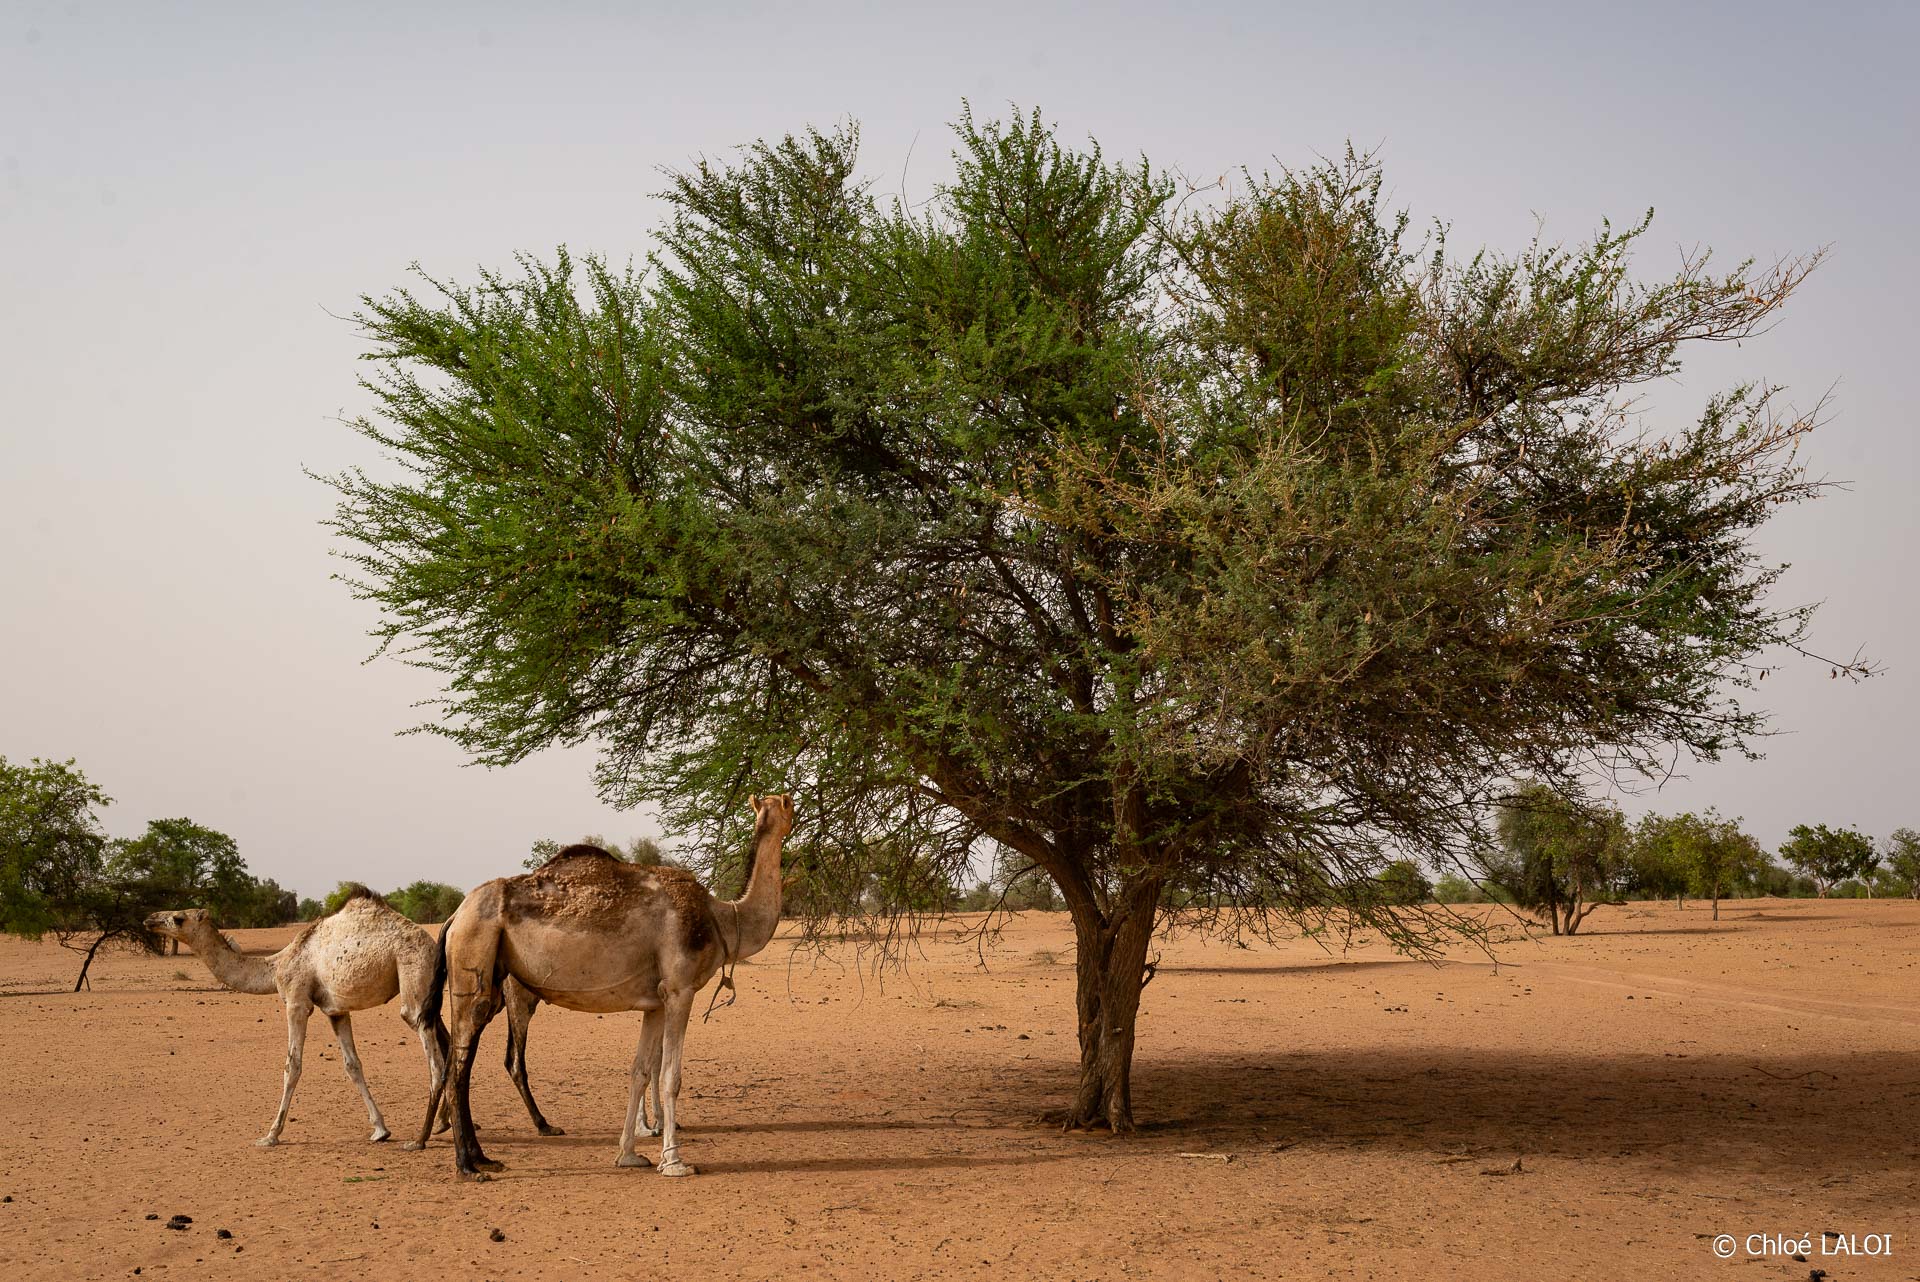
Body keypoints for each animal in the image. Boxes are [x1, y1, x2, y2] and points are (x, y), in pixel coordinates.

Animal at [144, 886, 560, 1143]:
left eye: (178, 918)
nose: (149, 918)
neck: (276, 965)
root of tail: (437, 942)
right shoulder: (335, 1009)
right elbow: (352, 1065)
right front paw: (379, 1129)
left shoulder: (296, 999)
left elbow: (292, 1065)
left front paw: (270, 1135)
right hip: (428, 993)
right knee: (446, 1041)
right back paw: (445, 1123)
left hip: (413, 984)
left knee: (434, 1049)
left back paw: (434, 1128)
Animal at [428, 794, 794, 1174]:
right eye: (788, 805)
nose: (793, 810)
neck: (721, 919)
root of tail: (455, 915)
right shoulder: (681, 989)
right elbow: (671, 1076)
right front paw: (674, 1161)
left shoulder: (657, 1001)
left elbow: (640, 1072)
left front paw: (629, 1155)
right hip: (474, 953)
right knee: (458, 1065)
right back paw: (468, 1165)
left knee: (462, 1064)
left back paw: (482, 1157)